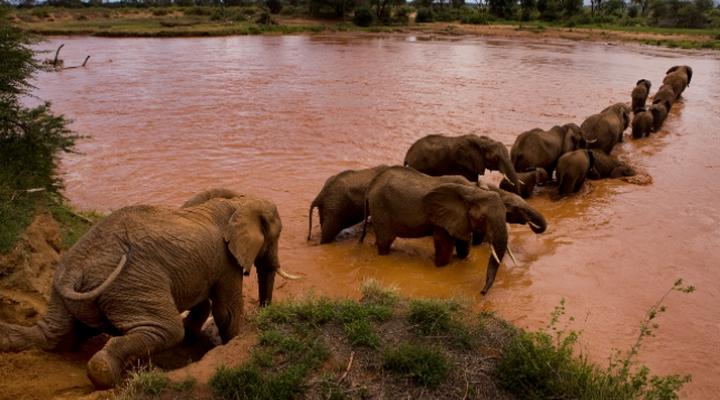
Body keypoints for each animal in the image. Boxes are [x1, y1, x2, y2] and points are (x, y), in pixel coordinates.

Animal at [0, 189, 298, 389]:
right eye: (274, 237)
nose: (265, 313)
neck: (238, 201)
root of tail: (75, 268)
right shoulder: (226, 261)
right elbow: (226, 312)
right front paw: (232, 342)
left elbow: (204, 303)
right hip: (132, 282)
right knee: (166, 329)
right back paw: (103, 373)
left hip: (64, 290)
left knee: (53, 334)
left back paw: (7, 340)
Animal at [360, 166, 509, 294]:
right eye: (483, 218)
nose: (482, 292)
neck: (472, 191)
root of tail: (371, 185)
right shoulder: (441, 219)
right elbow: (444, 247)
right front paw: (442, 266)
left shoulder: (459, 219)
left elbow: (463, 246)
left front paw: (460, 258)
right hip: (380, 208)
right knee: (385, 242)